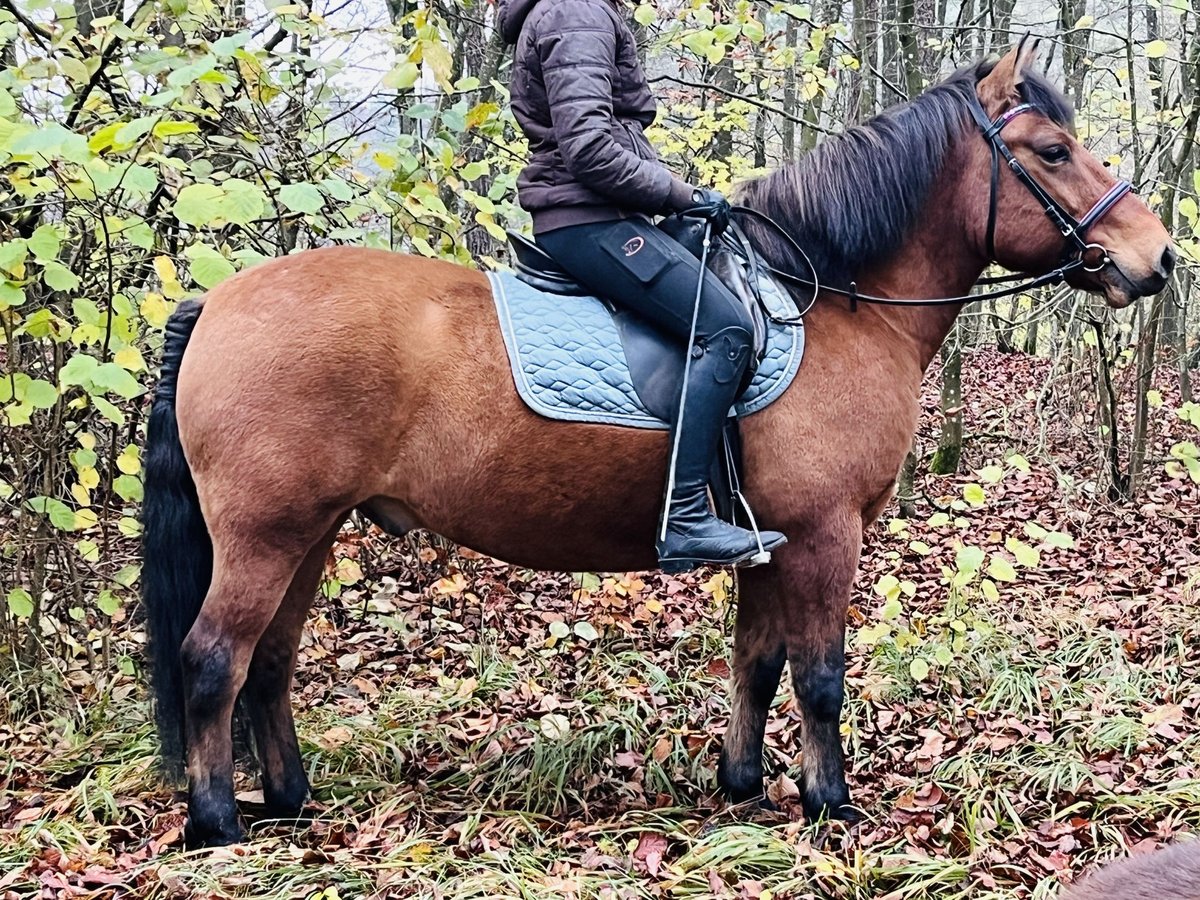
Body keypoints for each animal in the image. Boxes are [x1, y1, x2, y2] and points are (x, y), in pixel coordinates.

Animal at [142, 42, 1171, 849]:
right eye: (1052, 151)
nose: (1158, 256)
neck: (833, 304)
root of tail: (218, 300)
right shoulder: (825, 534)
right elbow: (820, 675)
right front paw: (829, 804)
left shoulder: (773, 539)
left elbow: (758, 661)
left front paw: (744, 784)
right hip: (266, 534)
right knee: (214, 659)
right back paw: (217, 822)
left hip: (309, 532)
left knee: (270, 661)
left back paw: (290, 799)